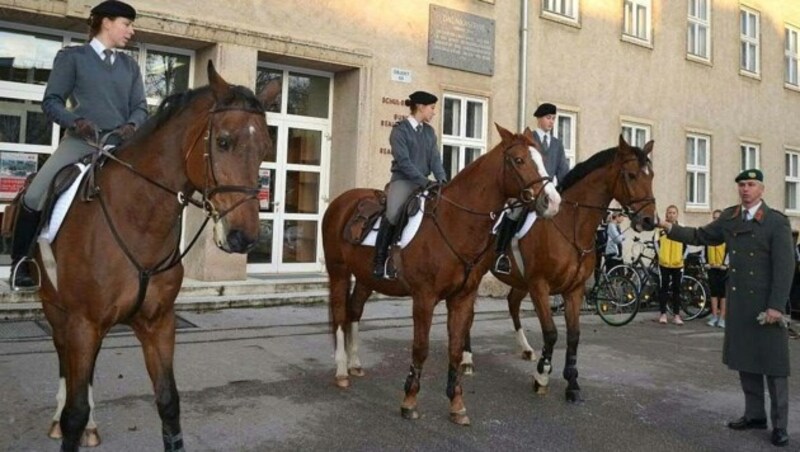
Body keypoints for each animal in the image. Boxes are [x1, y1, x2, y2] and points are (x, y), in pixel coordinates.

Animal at [38, 61, 282, 452]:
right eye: (223, 141)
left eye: (265, 148)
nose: (244, 237)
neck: (137, 219)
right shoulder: (83, 322)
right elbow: (73, 413)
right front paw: (71, 419)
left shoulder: (158, 323)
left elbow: (168, 402)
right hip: (55, 307)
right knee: (64, 355)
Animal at [322, 123, 560, 424]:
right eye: (519, 160)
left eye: (541, 158)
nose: (552, 201)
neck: (455, 222)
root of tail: (341, 202)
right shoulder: (424, 298)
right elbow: (420, 348)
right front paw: (409, 400)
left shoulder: (462, 298)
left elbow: (456, 349)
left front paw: (456, 403)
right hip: (338, 272)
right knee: (341, 315)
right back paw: (342, 370)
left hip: (366, 279)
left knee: (354, 311)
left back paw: (354, 364)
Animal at [488, 134, 656, 402]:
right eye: (631, 175)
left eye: (651, 176)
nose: (650, 220)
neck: (570, 225)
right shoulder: (540, 286)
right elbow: (551, 332)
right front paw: (542, 376)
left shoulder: (573, 290)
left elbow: (574, 335)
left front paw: (572, 382)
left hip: (519, 282)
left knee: (513, 304)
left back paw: (525, 349)